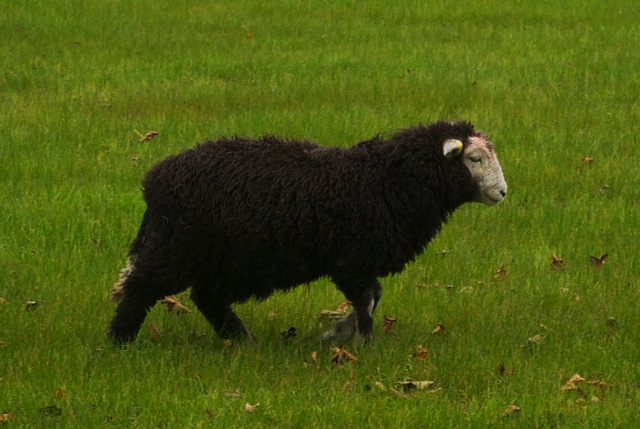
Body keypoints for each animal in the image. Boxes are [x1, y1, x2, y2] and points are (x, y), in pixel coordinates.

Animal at [111, 119, 510, 344]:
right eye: (475, 159)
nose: (503, 192)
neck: (386, 179)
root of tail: (156, 180)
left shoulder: (355, 261)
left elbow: (373, 297)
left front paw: (345, 332)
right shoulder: (349, 259)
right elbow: (369, 298)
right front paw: (353, 337)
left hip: (226, 258)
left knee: (207, 297)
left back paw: (240, 339)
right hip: (179, 247)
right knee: (139, 288)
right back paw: (119, 340)